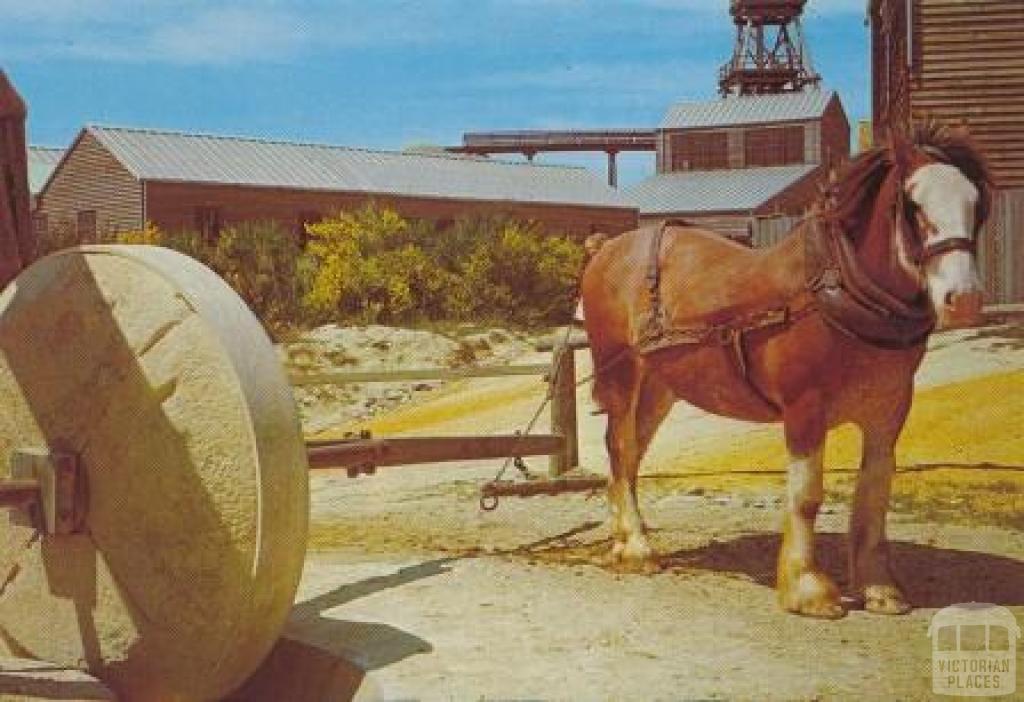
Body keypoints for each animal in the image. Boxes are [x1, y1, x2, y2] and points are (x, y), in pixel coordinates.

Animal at [585, 123, 991, 618]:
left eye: (976, 204)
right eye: (914, 204)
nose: (964, 300)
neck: (835, 291)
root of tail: (607, 248)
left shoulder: (889, 413)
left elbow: (874, 494)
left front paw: (878, 587)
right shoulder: (804, 409)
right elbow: (806, 496)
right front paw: (808, 589)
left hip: (661, 386)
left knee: (631, 452)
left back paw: (624, 536)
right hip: (620, 373)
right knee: (620, 446)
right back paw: (637, 547)